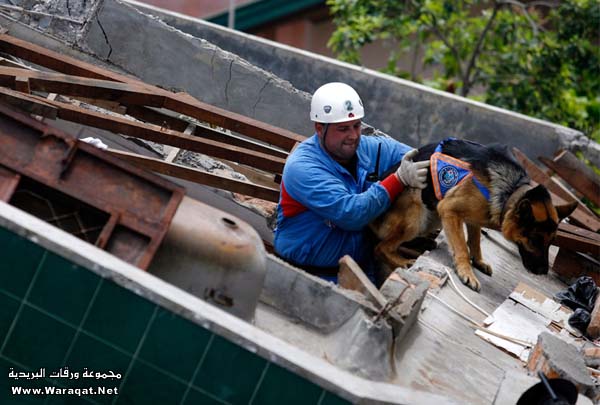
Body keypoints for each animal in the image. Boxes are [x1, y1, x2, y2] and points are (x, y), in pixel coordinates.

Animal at [370, 139, 576, 290]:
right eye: (534, 241)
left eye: (551, 242)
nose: (543, 272)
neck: (510, 192)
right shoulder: (449, 209)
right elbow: (462, 246)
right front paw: (466, 271)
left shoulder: (474, 217)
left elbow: (475, 241)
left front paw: (478, 261)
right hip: (416, 215)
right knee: (380, 248)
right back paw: (404, 262)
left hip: (434, 218)